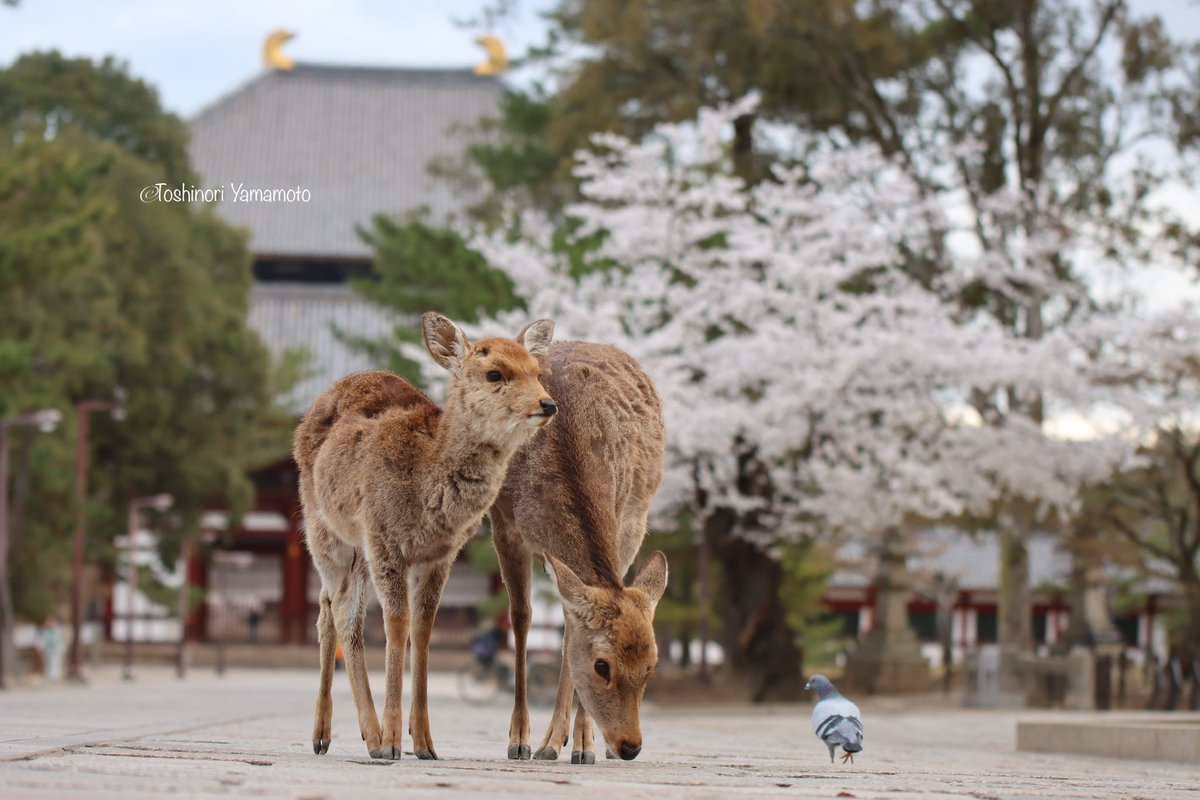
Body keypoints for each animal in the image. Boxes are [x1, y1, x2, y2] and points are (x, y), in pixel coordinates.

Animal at [293, 312, 557, 760]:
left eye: (538, 372)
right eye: (495, 373)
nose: (548, 403)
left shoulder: (441, 554)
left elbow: (423, 627)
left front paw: (425, 743)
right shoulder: (384, 538)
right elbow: (396, 623)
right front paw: (393, 740)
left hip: (356, 550)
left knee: (332, 605)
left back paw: (340, 734)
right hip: (322, 527)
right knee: (341, 612)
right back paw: (357, 736)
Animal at [488, 339, 668, 764]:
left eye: (651, 666)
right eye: (602, 666)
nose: (630, 746)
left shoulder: (623, 520)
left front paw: (583, 744)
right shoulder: (503, 524)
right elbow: (521, 618)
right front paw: (519, 740)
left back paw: (566, 742)